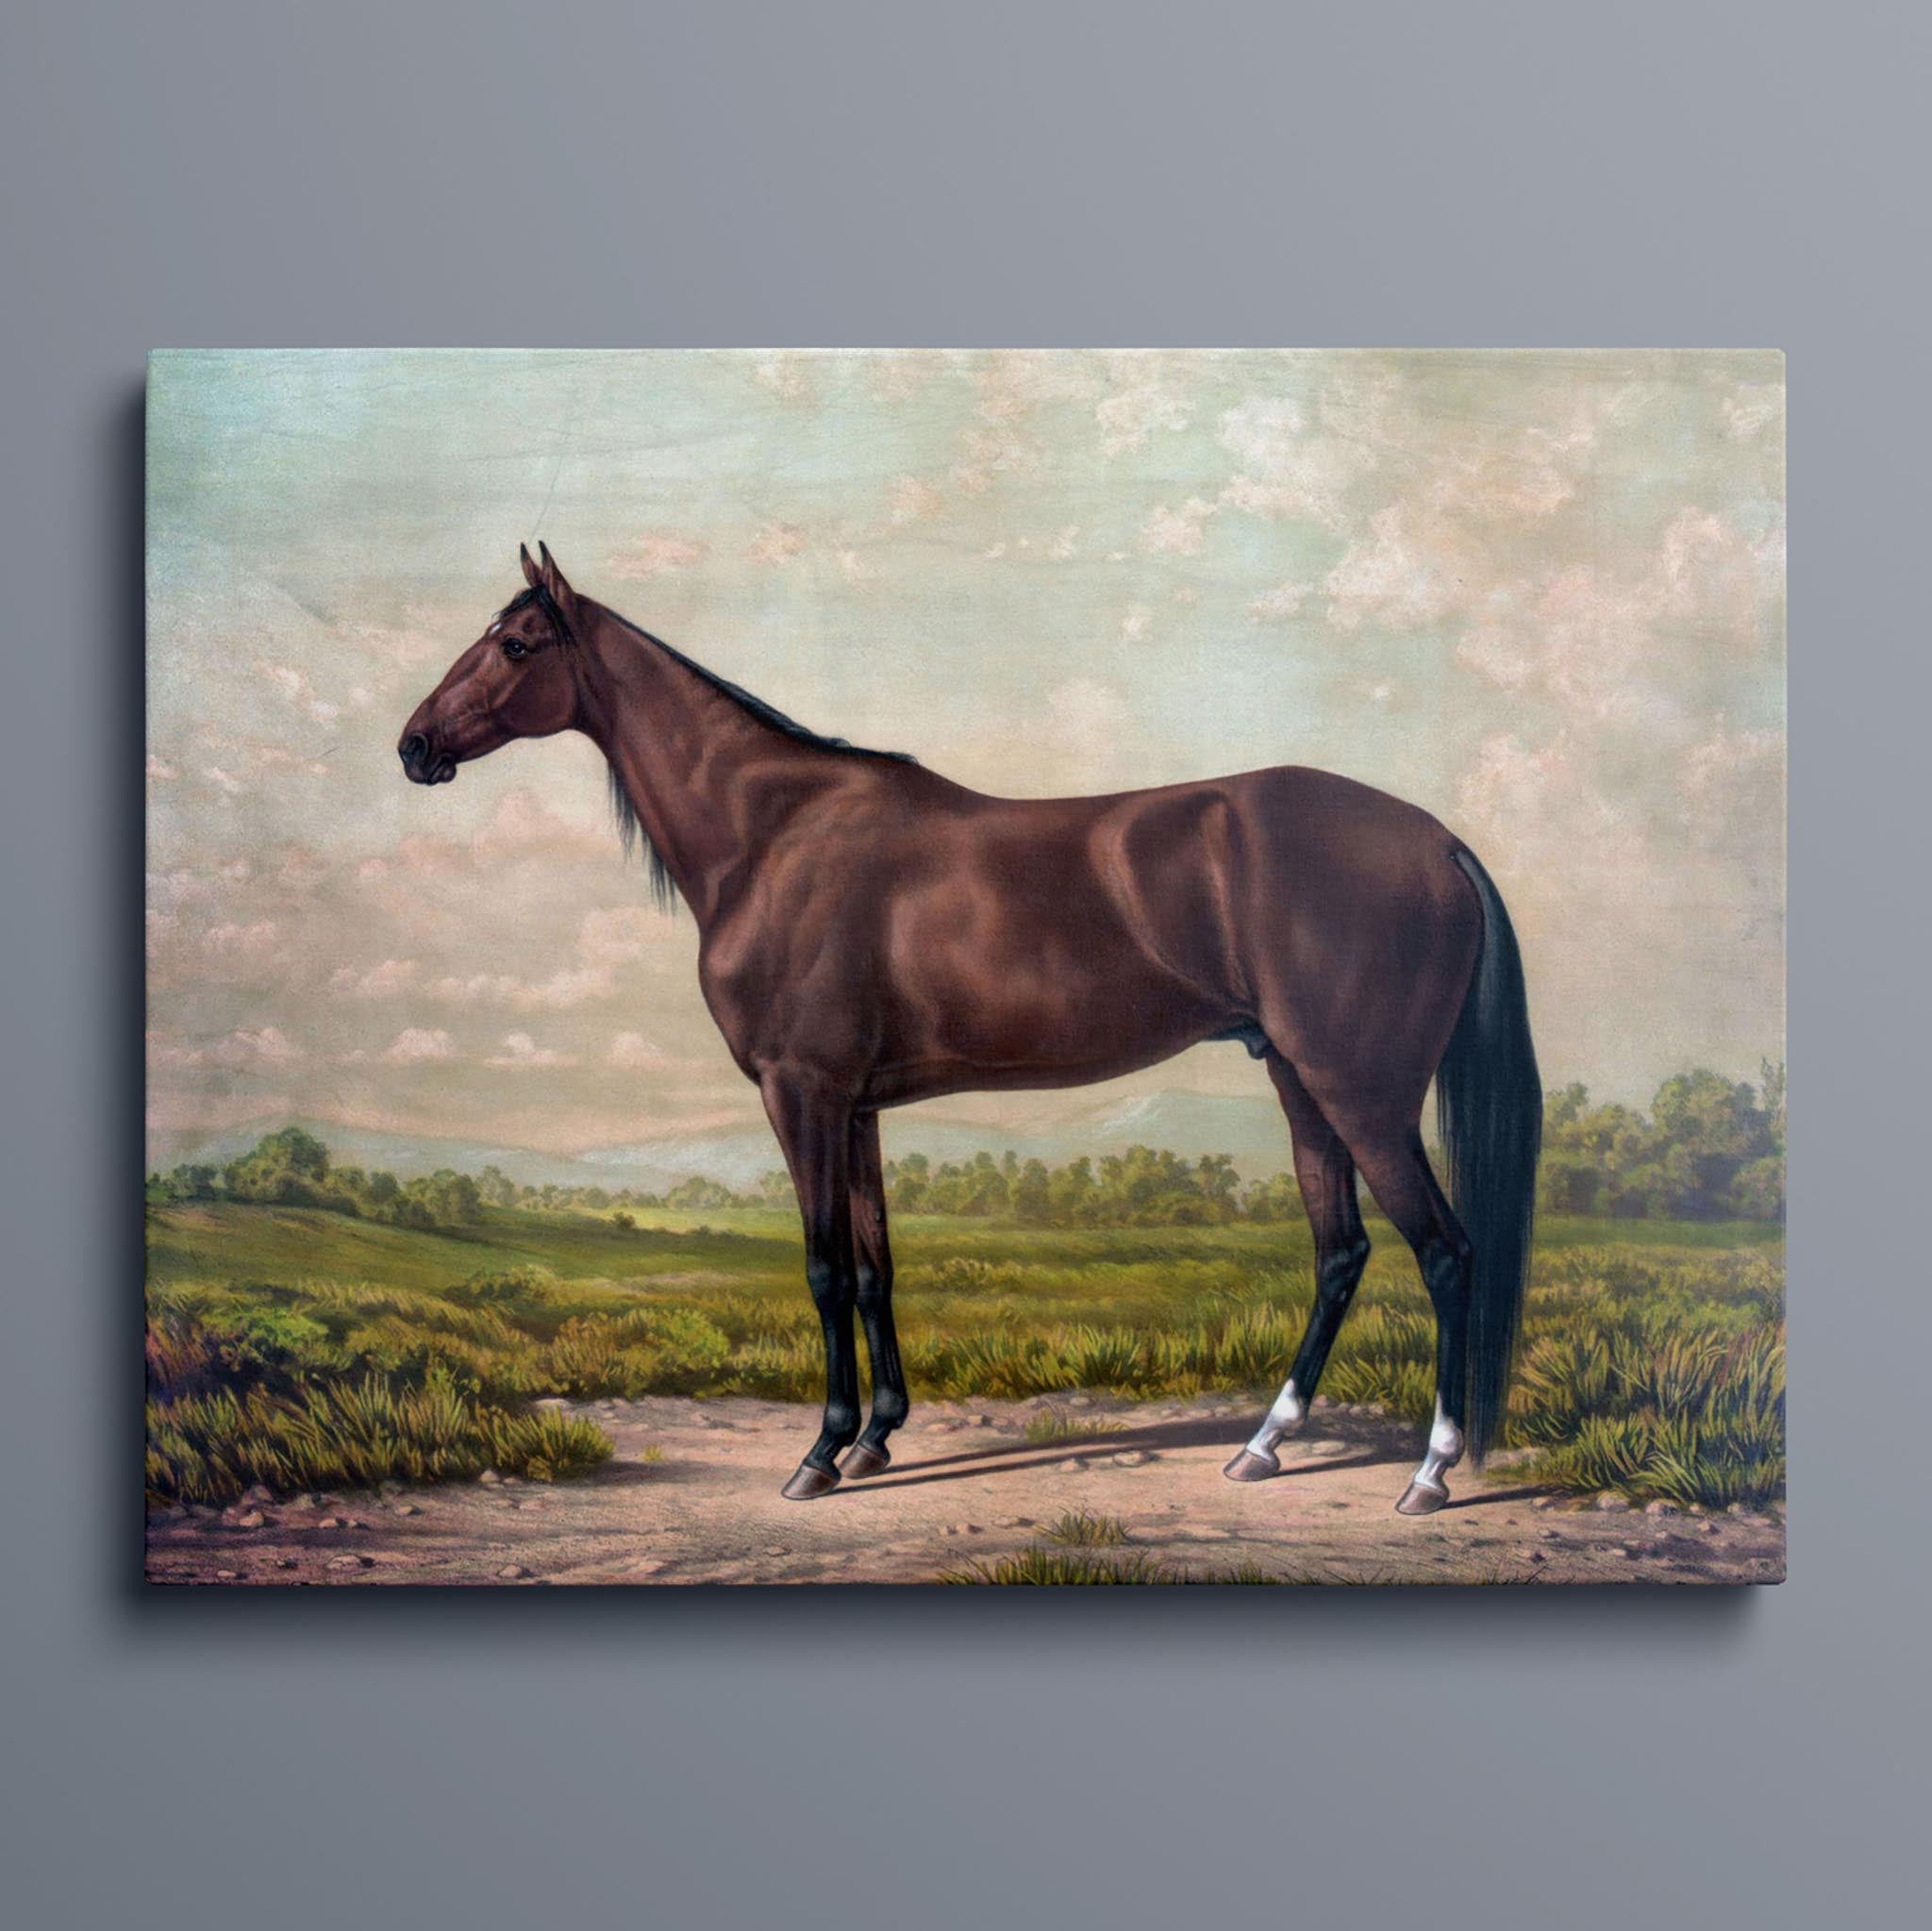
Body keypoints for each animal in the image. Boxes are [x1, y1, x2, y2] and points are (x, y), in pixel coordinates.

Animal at [400, 544, 1541, 1513]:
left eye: (515, 643)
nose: (413, 745)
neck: (773, 836)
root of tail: (1436, 841)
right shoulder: (855, 1106)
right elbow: (873, 1267)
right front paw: (874, 1437)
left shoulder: (800, 1092)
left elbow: (822, 1270)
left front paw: (819, 1454)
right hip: (1302, 1085)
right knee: (1340, 1253)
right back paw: (1262, 1445)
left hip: (1363, 1095)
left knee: (1444, 1252)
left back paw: (1430, 1473)